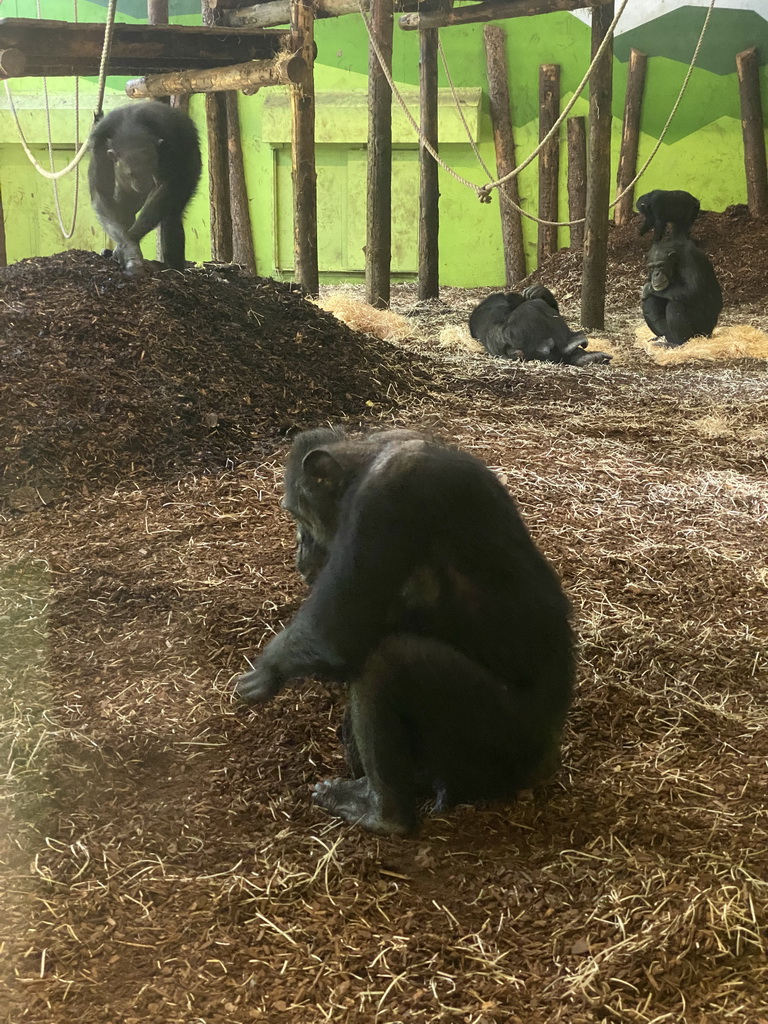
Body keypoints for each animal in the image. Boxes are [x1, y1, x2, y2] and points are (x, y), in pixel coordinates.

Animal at [88, 100, 201, 278]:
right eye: (132, 173)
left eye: (151, 167)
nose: (145, 184)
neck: (130, 127)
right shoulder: (98, 143)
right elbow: (102, 192)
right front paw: (128, 249)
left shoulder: (167, 141)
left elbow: (165, 186)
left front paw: (128, 247)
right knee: (124, 207)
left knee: (171, 214)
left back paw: (172, 267)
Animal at [237, 428, 573, 835]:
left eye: (297, 514)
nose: (299, 548)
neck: (365, 465)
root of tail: (548, 761)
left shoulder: (387, 498)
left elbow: (337, 632)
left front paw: (266, 671)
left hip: (505, 740)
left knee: (390, 662)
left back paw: (383, 813)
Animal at [468, 284, 614, 368]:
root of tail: (508, 346)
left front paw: (540, 291)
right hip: (522, 331)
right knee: (535, 305)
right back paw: (574, 342)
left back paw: (586, 357)